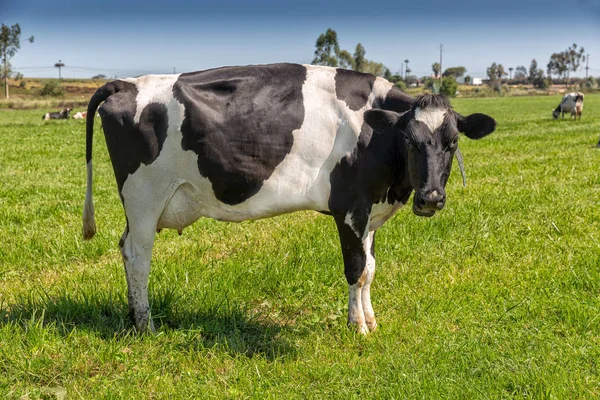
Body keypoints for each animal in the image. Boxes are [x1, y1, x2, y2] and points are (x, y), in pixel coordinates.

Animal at [83, 63, 496, 334]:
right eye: (410, 141)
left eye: (452, 142)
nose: (431, 198)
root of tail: (126, 84)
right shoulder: (349, 208)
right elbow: (355, 269)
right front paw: (357, 327)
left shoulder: (370, 213)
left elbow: (370, 269)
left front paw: (371, 319)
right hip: (144, 199)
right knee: (138, 256)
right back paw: (145, 325)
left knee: (125, 249)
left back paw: (134, 317)